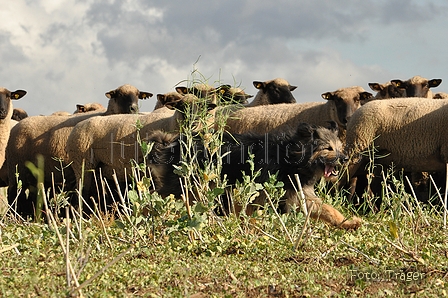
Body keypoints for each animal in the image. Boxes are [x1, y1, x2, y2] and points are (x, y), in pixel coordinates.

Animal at [6, 84, 152, 219]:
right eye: (119, 95)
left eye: (138, 95)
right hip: (16, 169)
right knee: (12, 194)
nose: (134, 108)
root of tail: (16, 126)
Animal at [145, 122, 362, 229]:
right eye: (328, 148)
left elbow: (328, 209)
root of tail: (172, 144)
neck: (288, 157)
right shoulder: (259, 192)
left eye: (339, 147)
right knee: (158, 198)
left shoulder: (298, 193)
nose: (345, 158)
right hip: (186, 186)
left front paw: (348, 223)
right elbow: (254, 214)